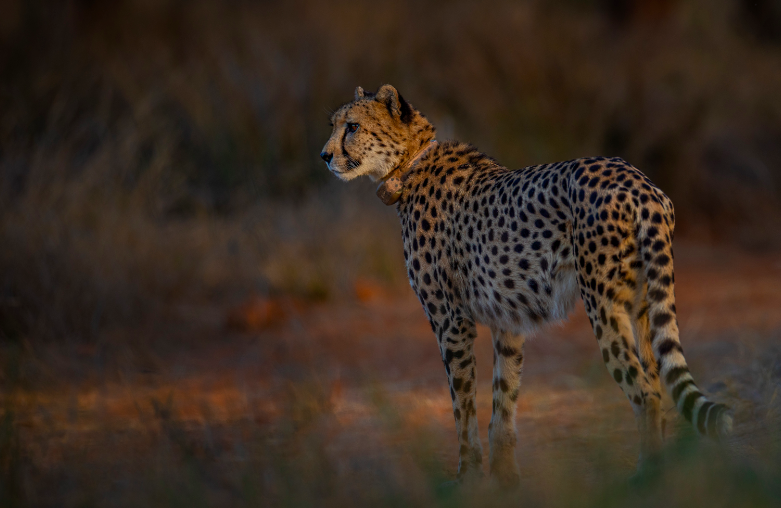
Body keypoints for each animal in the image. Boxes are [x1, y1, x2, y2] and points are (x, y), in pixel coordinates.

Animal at [318, 85, 732, 486]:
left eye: (352, 127)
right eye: (334, 125)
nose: (324, 156)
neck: (409, 163)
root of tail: (638, 181)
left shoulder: (451, 322)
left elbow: (462, 404)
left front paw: (467, 478)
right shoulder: (508, 322)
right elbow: (504, 398)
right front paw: (505, 478)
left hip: (603, 304)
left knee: (644, 392)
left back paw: (646, 478)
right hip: (642, 304)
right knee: (657, 382)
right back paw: (664, 471)